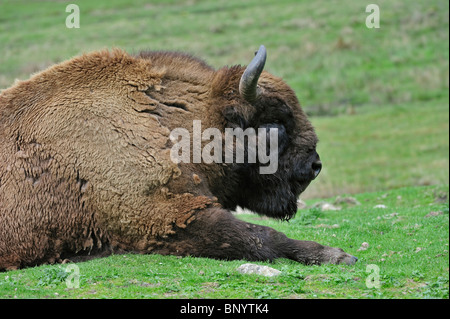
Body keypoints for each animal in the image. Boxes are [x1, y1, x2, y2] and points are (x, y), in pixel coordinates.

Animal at [0, 44, 358, 270]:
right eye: (276, 123)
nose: (314, 166)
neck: (167, 124)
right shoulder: (168, 220)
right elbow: (262, 238)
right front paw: (337, 255)